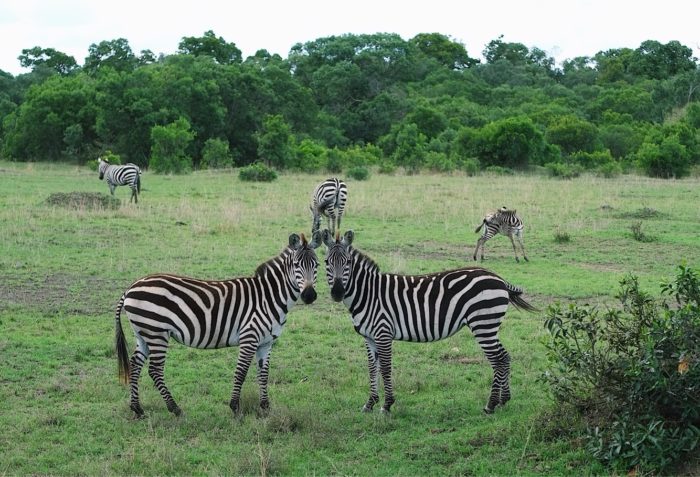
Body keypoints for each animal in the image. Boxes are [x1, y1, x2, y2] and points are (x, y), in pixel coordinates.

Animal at [115, 231, 322, 416]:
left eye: (317, 264)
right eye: (296, 265)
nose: (309, 296)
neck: (268, 297)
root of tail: (131, 287)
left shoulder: (266, 342)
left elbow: (263, 374)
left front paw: (265, 408)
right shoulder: (249, 337)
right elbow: (241, 372)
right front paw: (235, 408)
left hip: (144, 333)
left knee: (135, 365)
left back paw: (137, 409)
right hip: (157, 333)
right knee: (155, 370)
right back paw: (175, 409)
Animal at [322, 230, 536, 412]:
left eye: (348, 262)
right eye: (326, 262)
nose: (337, 293)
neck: (368, 294)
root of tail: (499, 278)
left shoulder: (383, 332)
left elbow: (386, 368)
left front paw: (387, 405)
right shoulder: (369, 337)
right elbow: (372, 368)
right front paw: (370, 403)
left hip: (483, 324)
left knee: (498, 359)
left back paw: (490, 405)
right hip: (488, 325)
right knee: (505, 357)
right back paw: (503, 400)